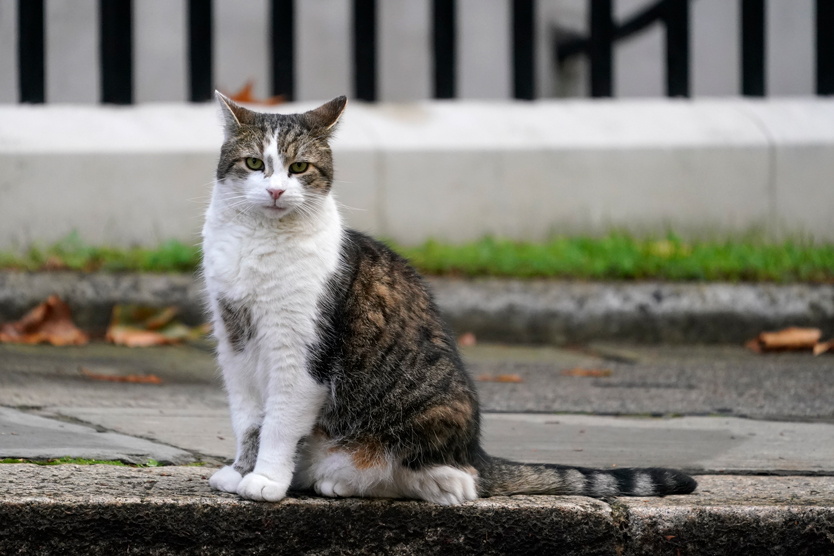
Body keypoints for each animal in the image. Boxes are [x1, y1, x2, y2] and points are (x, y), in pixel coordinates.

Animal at [202, 93, 696, 506]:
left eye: (300, 168)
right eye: (253, 163)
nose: (276, 190)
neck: (259, 243)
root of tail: (475, 451)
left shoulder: (300, 355)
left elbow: (279, 423)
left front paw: (266, 480)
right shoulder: (235, 345)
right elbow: (248, 420)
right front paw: (240, 472)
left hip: (428, 417)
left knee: (450, 481)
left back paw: (356, 479)